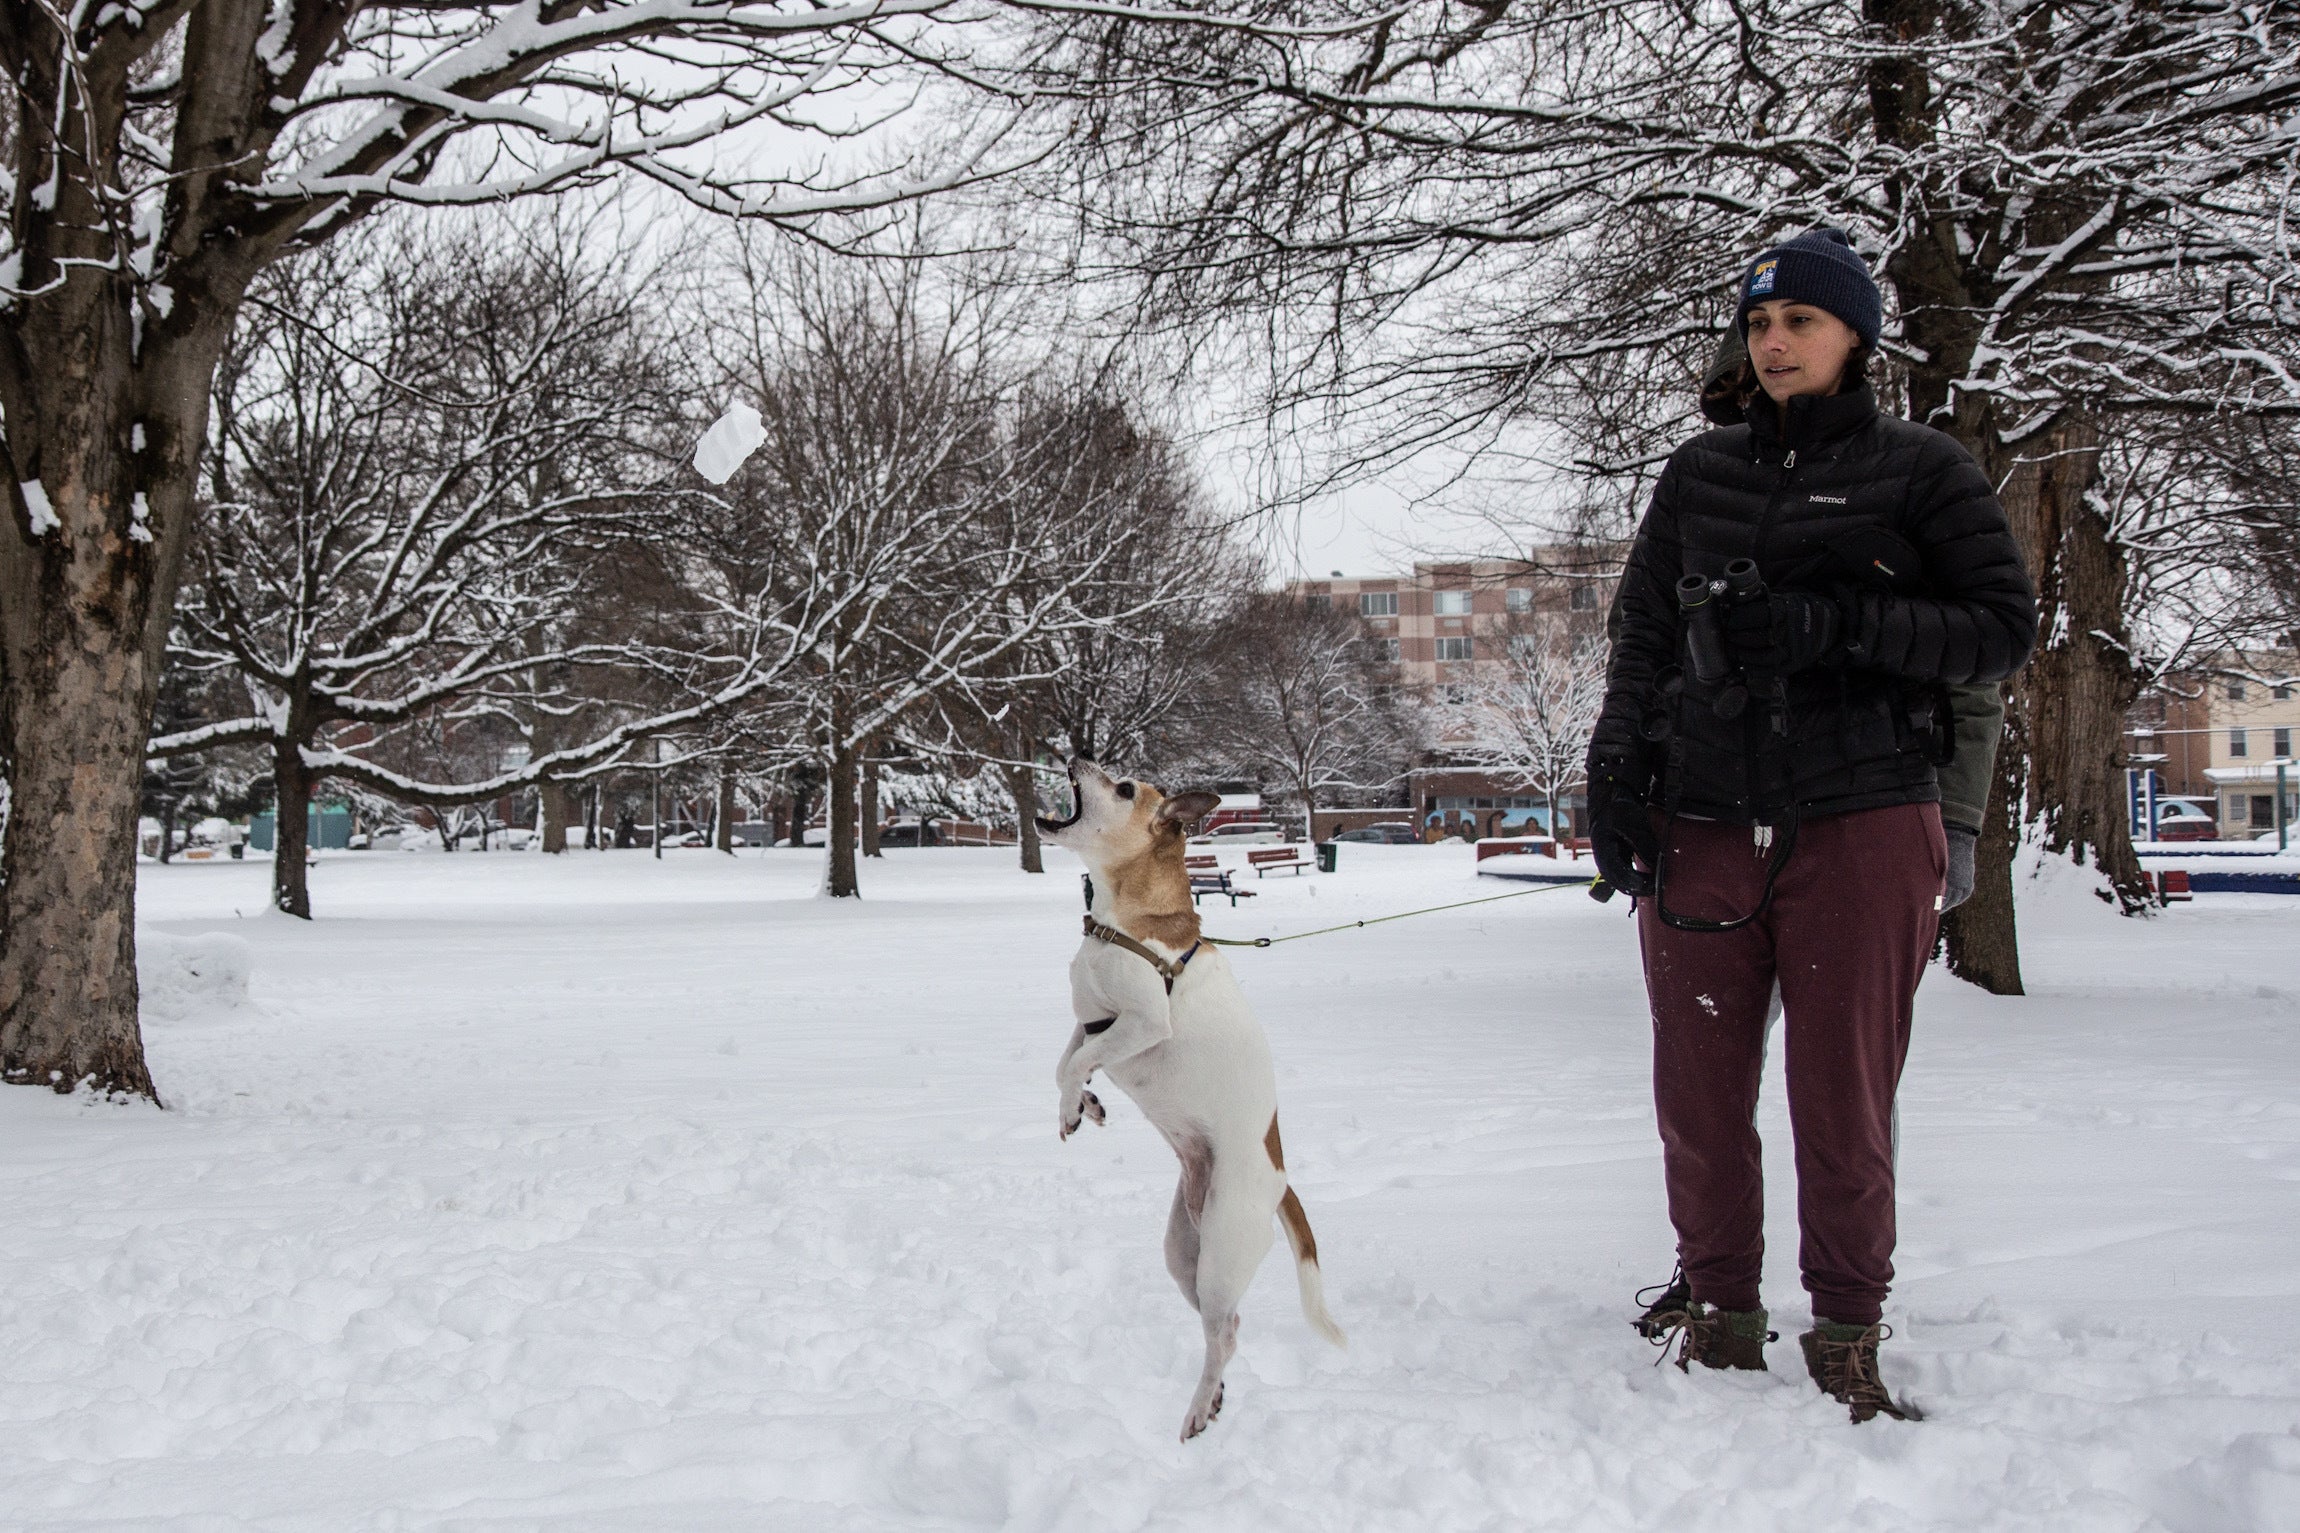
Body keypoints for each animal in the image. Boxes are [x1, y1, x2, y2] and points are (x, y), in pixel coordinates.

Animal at [1035, 763, 1343, 1443]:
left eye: (1124, 787)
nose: (1078, 756)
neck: (1118, 925)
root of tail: (1280, 1182)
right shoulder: (1088, 1023)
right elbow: (1064, 1065)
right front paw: (1085, 1106)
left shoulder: (1142, 1023)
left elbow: (1076, 1063)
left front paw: (1075, 1107)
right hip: (1185, 1256)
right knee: (1224, 1328)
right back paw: (1217, 1396)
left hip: (1222, 1252)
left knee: (1223, 1332)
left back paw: (1200, 1408)